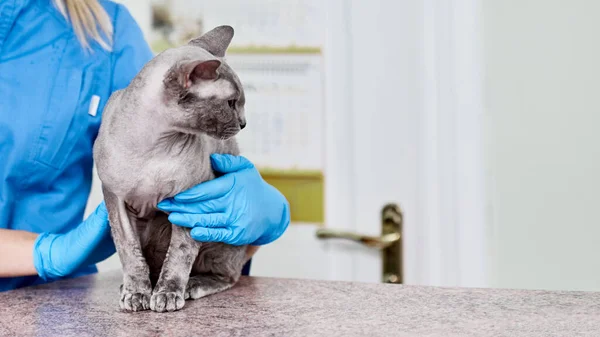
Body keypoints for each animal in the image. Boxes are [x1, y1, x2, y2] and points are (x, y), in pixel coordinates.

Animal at [93, 26, 246, 312]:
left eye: (240, 103)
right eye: (231, 103)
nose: (243, 123)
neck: (153, 147)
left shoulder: (187, 203)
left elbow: (179, 255)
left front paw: (167, 294)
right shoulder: (115, 202)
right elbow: (129, 252)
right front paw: (136, 293)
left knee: (228, 275)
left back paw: (192, 285)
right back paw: (132, 287)